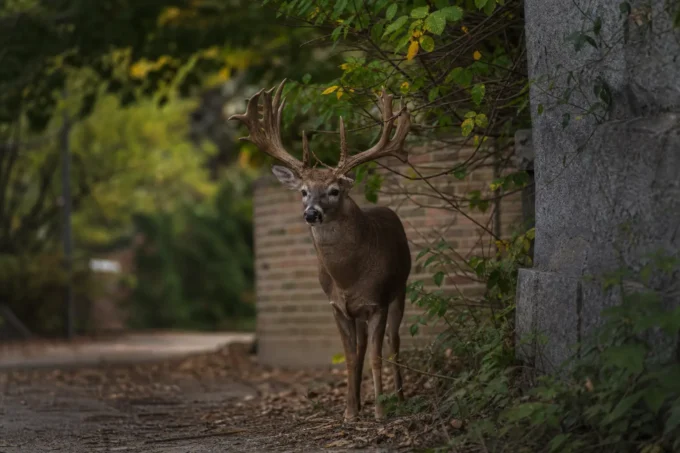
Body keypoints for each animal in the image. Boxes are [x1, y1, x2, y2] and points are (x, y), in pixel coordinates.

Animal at [229, 80, 412, 422]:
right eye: (303, 191)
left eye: (334, 190)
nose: (311, 213)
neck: (349, 276)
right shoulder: (337, 306)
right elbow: (351, 357)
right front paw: (350, 412)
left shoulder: (378, 301)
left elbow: (377, 357)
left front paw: (380, 413)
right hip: (359, 312)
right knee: (362, 348)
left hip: (401, 288)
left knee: (394, 343)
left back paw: (400, 396)